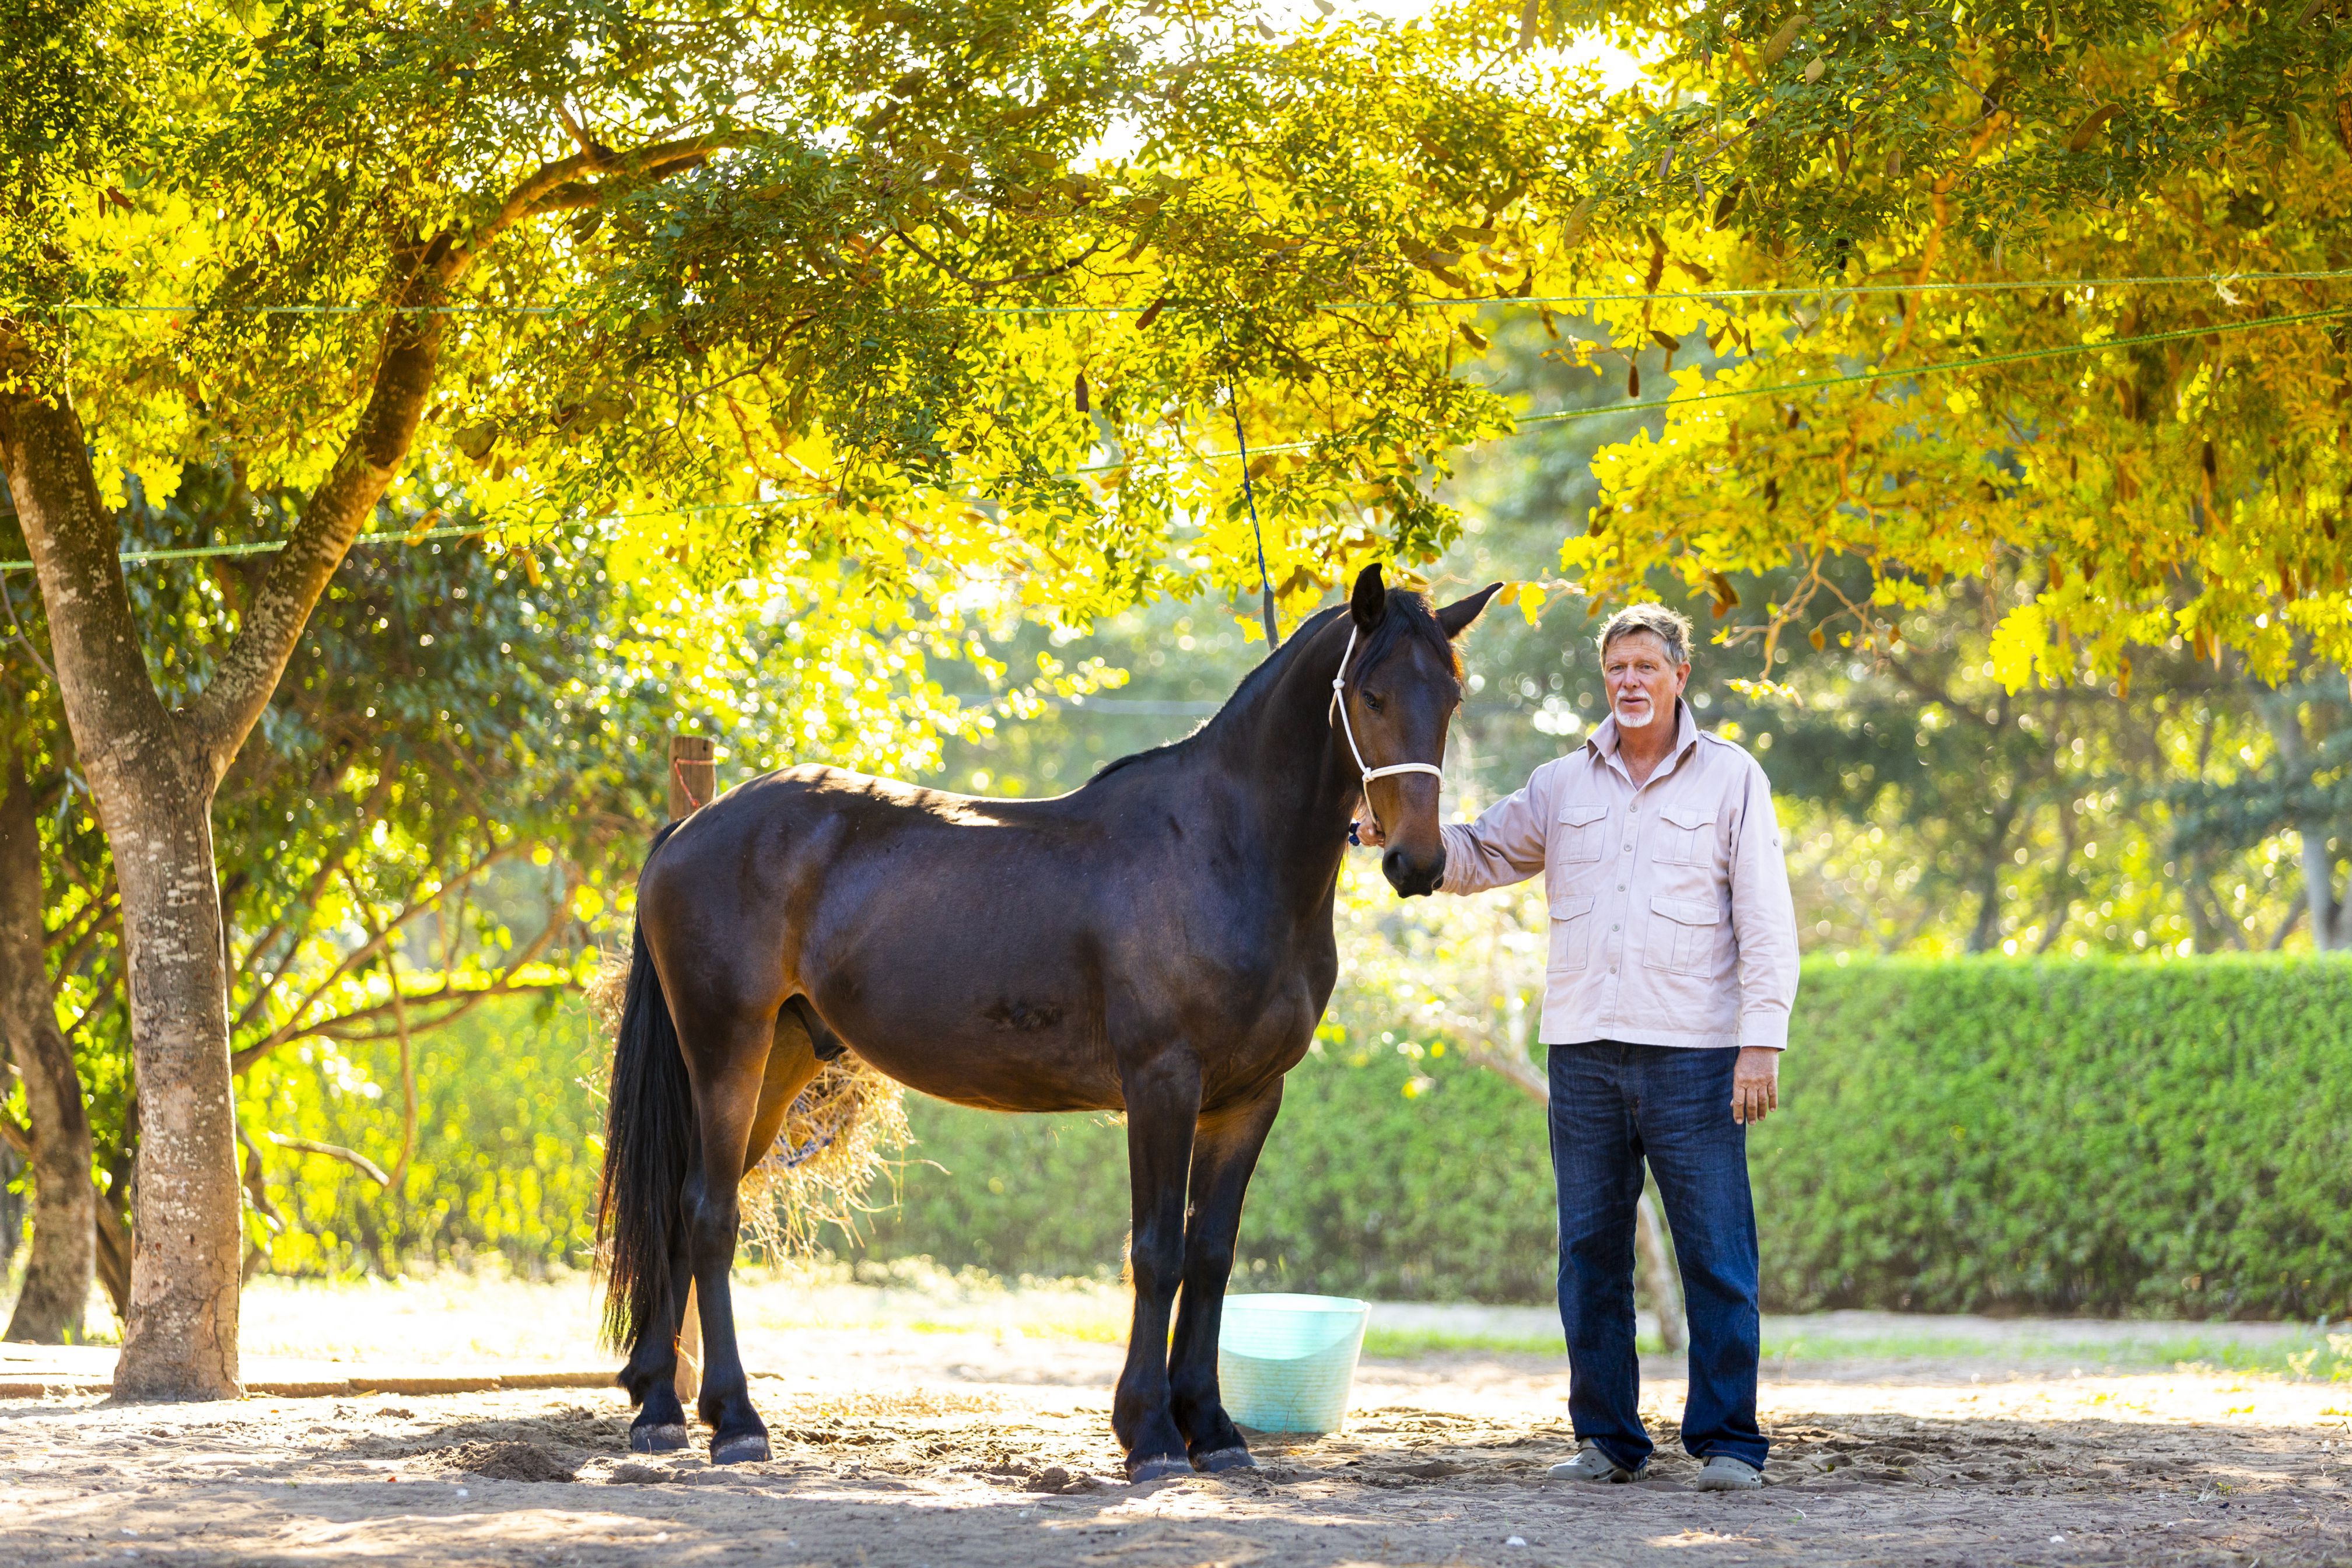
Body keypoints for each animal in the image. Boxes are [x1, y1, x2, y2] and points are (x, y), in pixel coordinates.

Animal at [597, 564, 1496, 1485]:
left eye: (1452, 696)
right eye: (1372, 694)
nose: (1418, 863)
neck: (1223, 850)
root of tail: (693, 826)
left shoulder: (1249, 1099)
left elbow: (1211, 1255)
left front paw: (1212, 1429)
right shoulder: (1163, 1084)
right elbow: (1158, 1252)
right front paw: (1151, 1434)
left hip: (776, 1063)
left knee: (680, 1208)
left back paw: (658, 1407)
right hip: (728, 1051)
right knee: (709, 1214)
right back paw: (736, 1421)